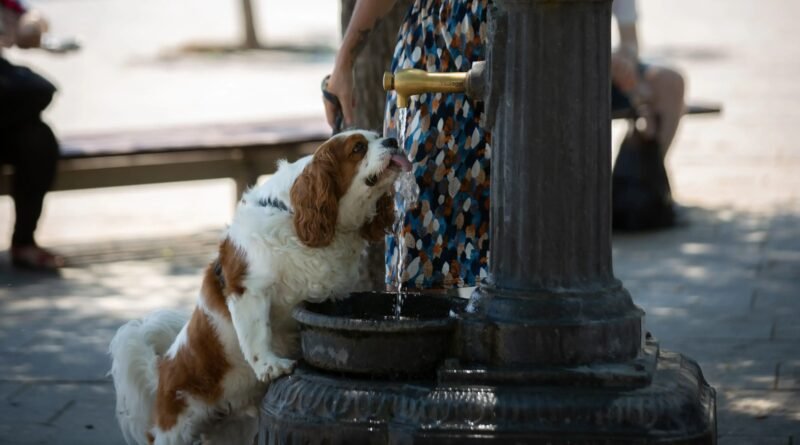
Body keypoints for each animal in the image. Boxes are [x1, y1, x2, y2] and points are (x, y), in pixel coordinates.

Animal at [109, 130, 410, 442]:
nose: (392, 140)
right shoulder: (248, 289)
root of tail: (160, 371)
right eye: (358, 148)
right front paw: (270, 366)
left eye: (377, 136)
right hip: (177, 430)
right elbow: (257, 333)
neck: (293, 216)